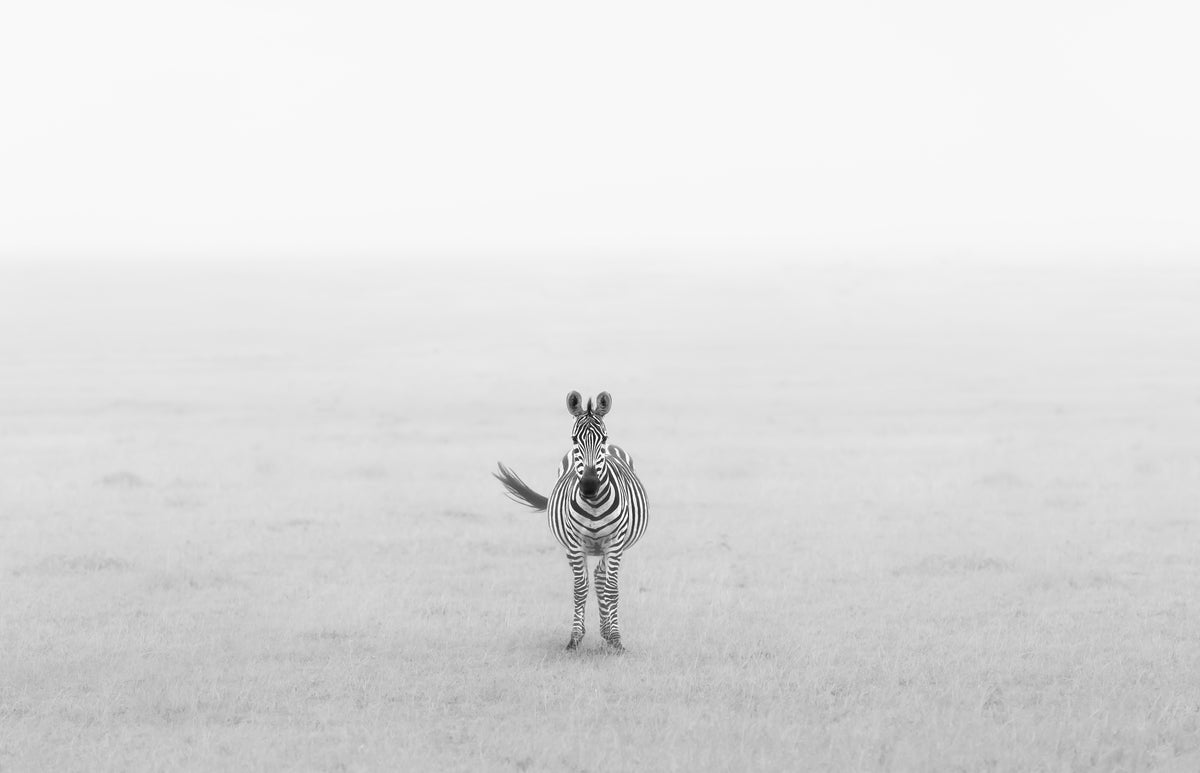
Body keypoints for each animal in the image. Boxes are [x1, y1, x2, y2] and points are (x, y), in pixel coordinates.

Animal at [494, 390, 649, 651]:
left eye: (603, 437)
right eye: (574, 439)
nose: (589, 485)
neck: (594, 503)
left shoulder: (615, 543)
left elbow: (612, 589)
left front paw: (617, 640)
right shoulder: (575, 544)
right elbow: (579, 589)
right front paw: (575, 638)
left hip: (609, 547)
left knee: (601, 578)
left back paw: (608, 633)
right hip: (573, 546)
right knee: (593, 577)